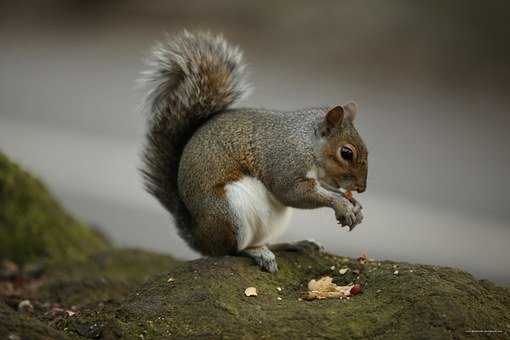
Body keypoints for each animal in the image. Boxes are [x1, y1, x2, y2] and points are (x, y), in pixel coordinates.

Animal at [141, 30, 368, 272]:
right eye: (346, 153)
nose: (361, 188)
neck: (306, 142)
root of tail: (199, 237)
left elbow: (324, 187)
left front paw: (354, 204)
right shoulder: (284, 162)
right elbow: (291, 193)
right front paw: (341, 204)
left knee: (265, 241)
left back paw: (294, 244)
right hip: (229, 213)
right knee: (232, 250)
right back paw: (256, 252)